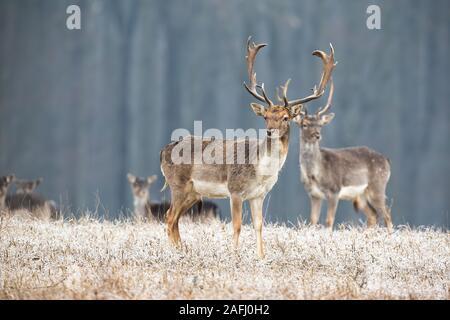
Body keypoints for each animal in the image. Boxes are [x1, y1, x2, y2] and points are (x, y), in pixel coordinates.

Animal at [159, 37, 334, 258]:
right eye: (266, 116)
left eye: (285, 117)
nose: (270, 131)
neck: (261, 170)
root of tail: (163, 151)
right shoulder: (235, 190)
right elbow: (237, 225)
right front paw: (234, 256)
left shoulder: (259, 195)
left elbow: (259, 225)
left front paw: (261, 257)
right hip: (178, 184)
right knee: (170, 217)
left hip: (193, 192)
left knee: (174, 219)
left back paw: (182, 251)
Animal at [294, 46, 392, 231]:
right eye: (304, 124)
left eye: (320, 125)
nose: (317, 135)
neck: (315, 174)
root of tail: (387, 161)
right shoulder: (313, 194)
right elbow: (312, 221)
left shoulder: (334, 190)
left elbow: (328, 221)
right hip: (361, 195)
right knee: (373, 215)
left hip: (377, 186)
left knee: (387, 216)